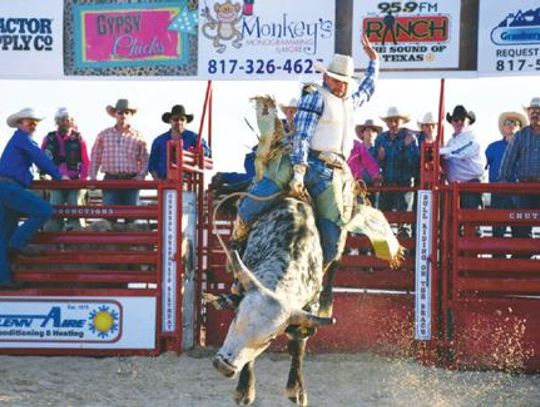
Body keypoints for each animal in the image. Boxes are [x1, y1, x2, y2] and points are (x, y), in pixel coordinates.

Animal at [213, 197, 336, 404]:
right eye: (236, 316)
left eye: (270, 337)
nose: (224, 366)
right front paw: (244, 389)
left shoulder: (310, 308)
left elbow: (298, 346)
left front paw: (296, 389)